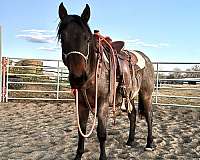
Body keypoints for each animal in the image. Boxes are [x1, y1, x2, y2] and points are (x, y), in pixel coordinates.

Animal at [57, 2, 155, 160]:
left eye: (87, 38)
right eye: (62, 37)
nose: (78, 78)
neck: (92, 74)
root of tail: (146, 58)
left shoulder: (102, 104)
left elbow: (101, 133)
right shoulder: (81, 105)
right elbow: (81, 131)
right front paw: (78, 155)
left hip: (146, 95)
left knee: (149, 116)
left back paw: (149, 144)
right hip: (129, 96)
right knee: (133, 115)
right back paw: (130, 141)